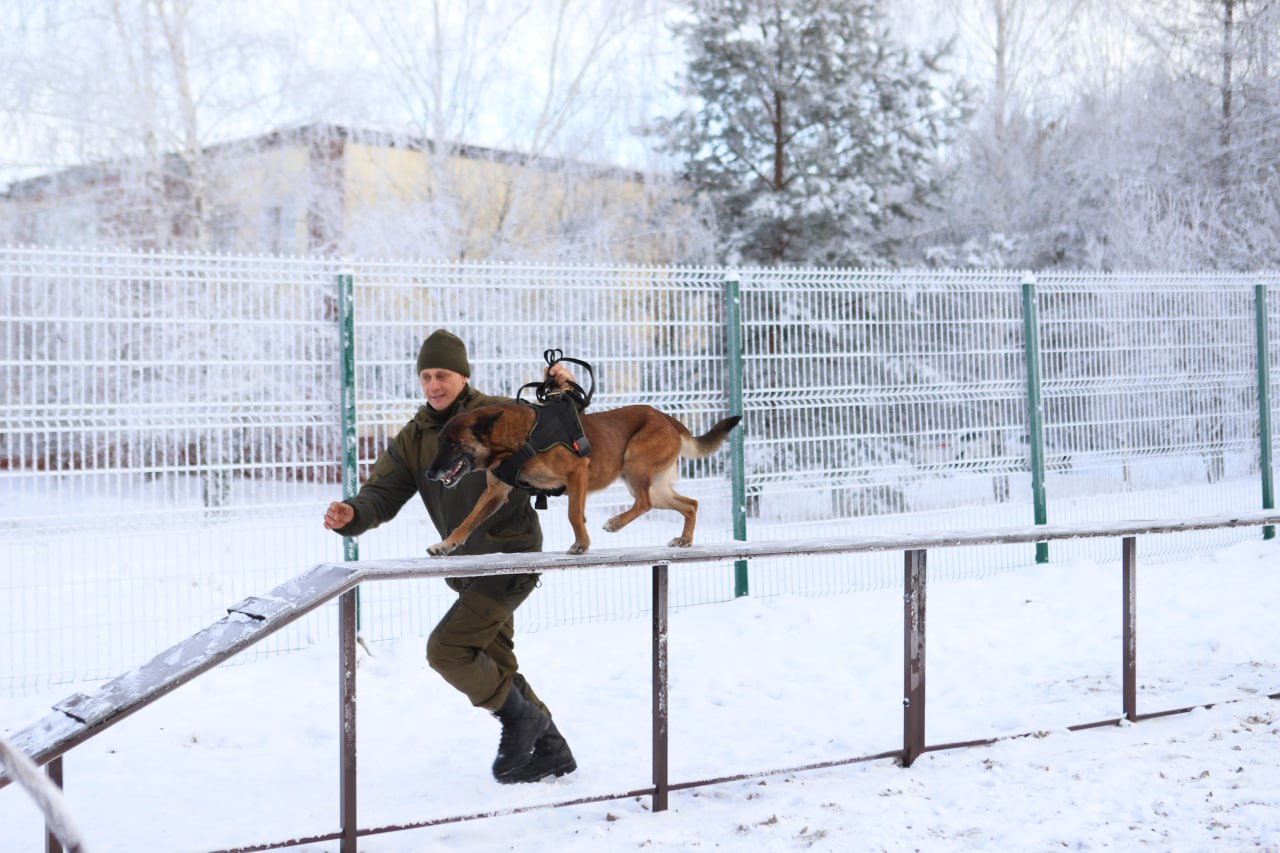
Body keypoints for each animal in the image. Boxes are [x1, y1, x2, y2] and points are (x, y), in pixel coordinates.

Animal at [424, 402, 742, 555]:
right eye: (439, 443)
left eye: (453, 445)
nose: (429, 474)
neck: (515, 439)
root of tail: (668, 419)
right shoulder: (495, 494)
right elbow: (467, 521)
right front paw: (446, 544)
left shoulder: (577, 473)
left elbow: (573, 514)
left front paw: (581, 543)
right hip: (653, 483)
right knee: (690, 504)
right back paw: (685, 539)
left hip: (635, 464)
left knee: (645, 502)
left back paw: (616, 522)